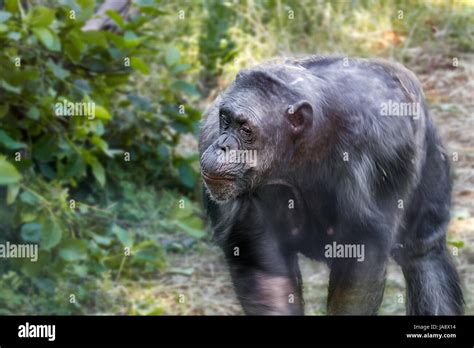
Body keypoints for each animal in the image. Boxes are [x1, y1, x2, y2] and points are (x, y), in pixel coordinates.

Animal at [198, 55, 464, 316]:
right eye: (226, 119)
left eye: (245, 129)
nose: (222, 145)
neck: (307, 142)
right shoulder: (210, 133)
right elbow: (263, 268)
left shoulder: (385, 147)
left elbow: (361, 263)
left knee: (424, 255)